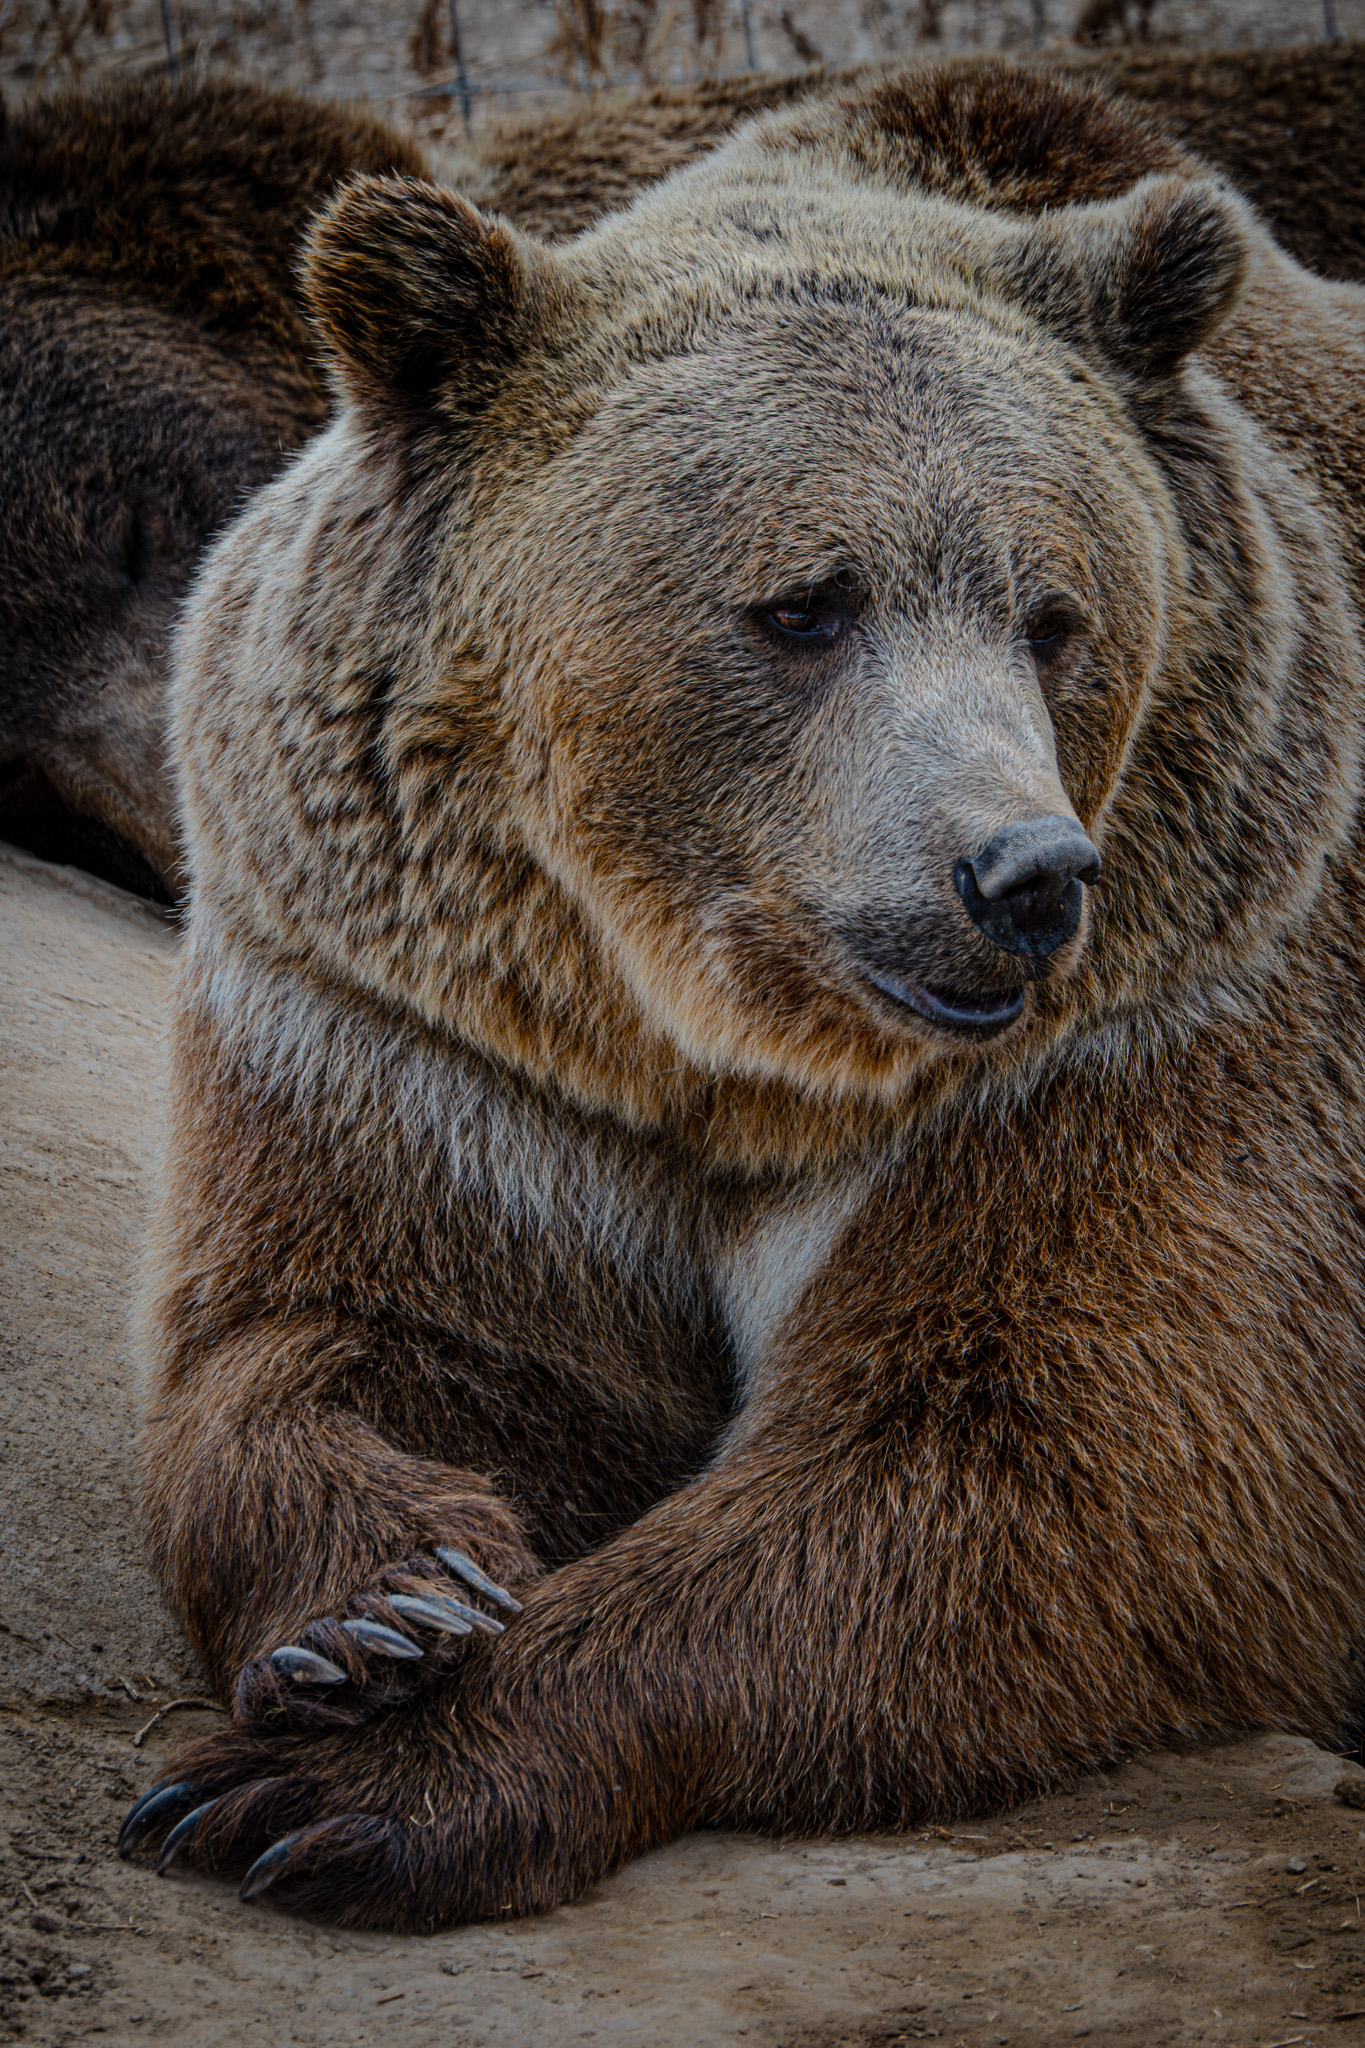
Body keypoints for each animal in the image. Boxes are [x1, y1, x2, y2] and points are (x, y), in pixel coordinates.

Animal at [115, 58, 1365, 1931]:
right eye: (804, 603)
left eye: (1054, 616)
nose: (1021, 874)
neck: (721, 1045)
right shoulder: (430, 1035)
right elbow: (345, 1332)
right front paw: (382, 1611)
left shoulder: (1163, 1028)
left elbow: (1032, 1466)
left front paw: (334, 1789)